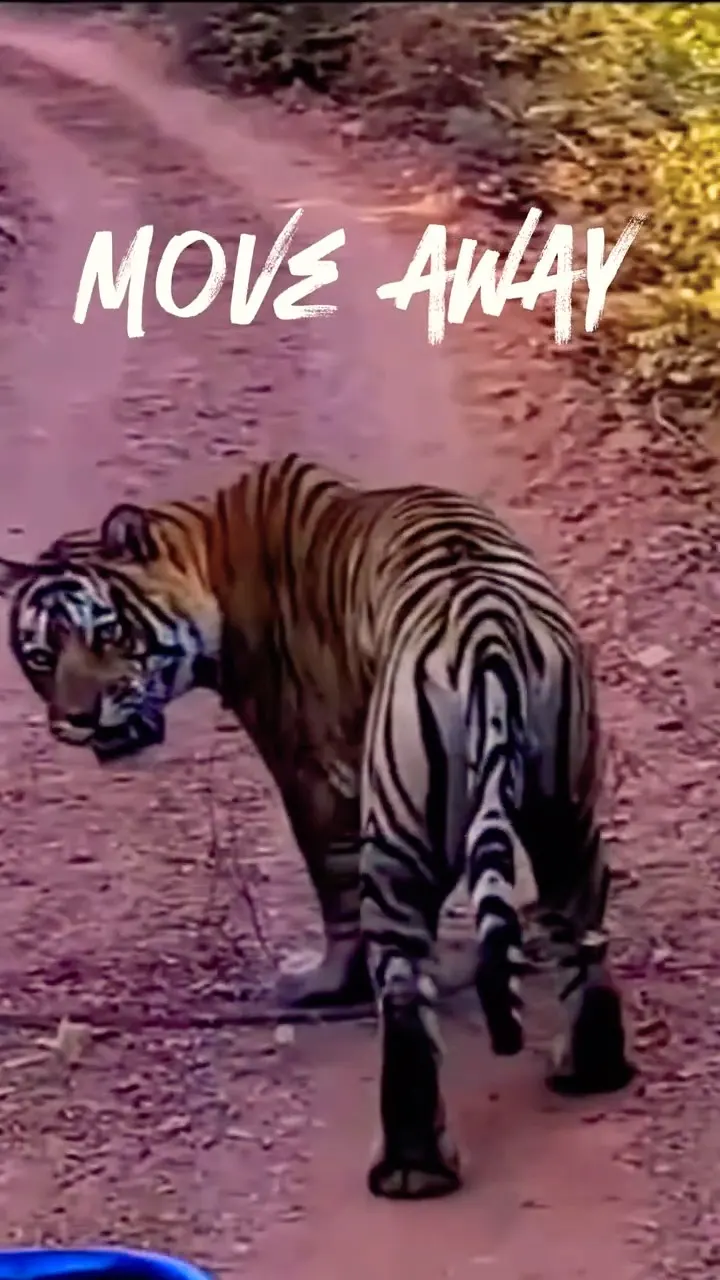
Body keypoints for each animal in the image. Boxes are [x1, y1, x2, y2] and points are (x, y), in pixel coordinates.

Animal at [0, 451, 635, 1200]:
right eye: (40, 656)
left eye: (107, 633)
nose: (77, 719)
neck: (208, 551)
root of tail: (489, 643)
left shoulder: (309, 770)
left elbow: (334, 890)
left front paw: (325, 983)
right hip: (567, 806)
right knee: (583, 934)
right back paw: (589, 1069)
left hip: (399, 840)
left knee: (403, 994)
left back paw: (410, 1167)